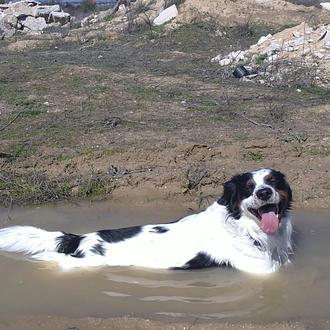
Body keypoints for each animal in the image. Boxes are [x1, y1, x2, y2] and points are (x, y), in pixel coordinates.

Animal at [0, 169, 294, 274]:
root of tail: (82, 238)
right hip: (82, 263)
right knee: (52, 258)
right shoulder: (263, 270)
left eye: (273, 182)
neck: (243, 226)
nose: (264, 192)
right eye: (248, 188)